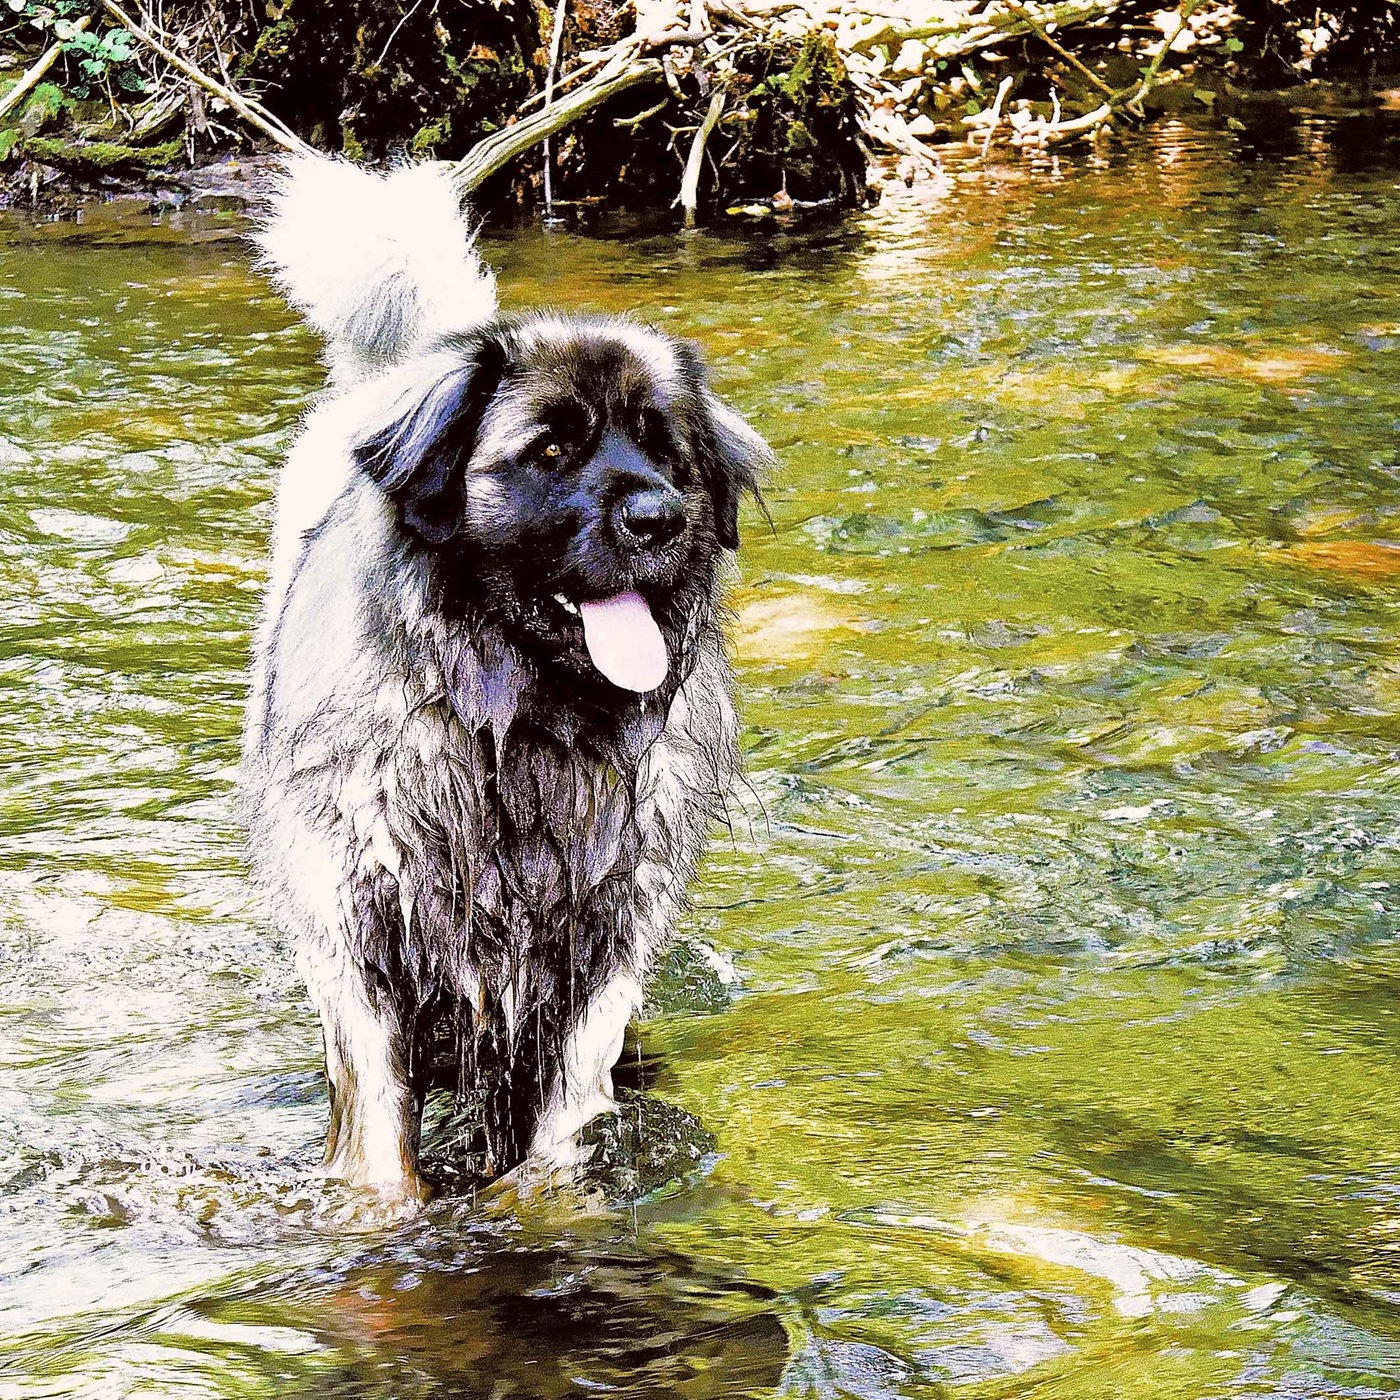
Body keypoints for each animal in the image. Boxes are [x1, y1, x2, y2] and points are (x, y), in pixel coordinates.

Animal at [240, 156, 767, 1204]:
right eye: (550, 451)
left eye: (666, 450)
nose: (657, 516)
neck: (521, 730)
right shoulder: (365, 929)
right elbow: (380, 1112)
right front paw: (384, 1207)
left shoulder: (601, 939)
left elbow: (568, 1104)